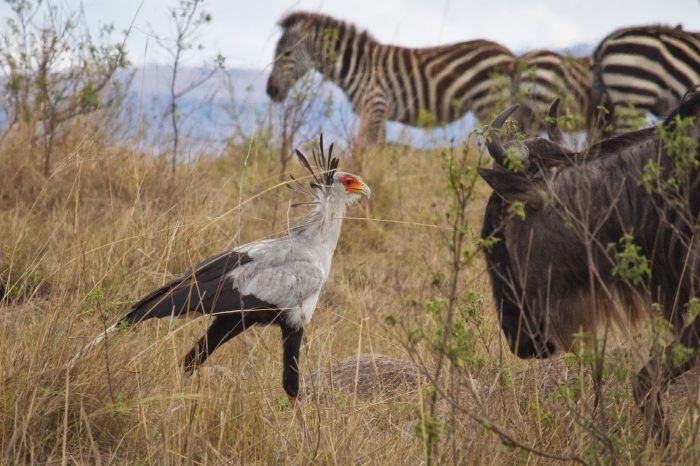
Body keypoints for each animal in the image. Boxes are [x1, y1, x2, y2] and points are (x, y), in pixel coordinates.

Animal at [266, 12, 516, 144]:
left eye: (285, 53)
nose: (270, 91)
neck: (359, 66)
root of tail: (510, 54)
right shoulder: (379, 114)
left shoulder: (374, 107)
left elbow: (364, 154)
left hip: (489, 103)